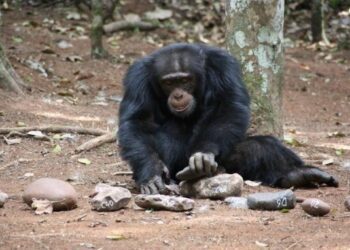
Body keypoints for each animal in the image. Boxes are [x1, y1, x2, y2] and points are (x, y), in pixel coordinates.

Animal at [118, 44, 340, 194]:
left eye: (185, 80)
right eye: (168, 83)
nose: (178, 95)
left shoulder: (224, 65)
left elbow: (228, 105)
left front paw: (203, 155)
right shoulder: (137, 77)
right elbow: (138, 121)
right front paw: (152, 171)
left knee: (260, 146)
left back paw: (298, 174)